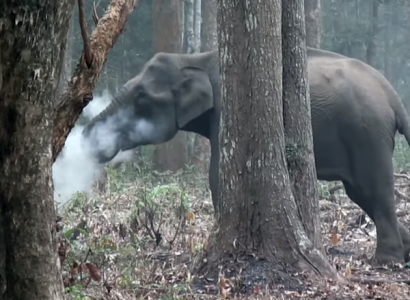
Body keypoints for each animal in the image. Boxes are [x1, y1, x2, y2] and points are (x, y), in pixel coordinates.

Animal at [81, 47, 410, 264]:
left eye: (141, 98)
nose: (83, 140)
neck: (194, 58)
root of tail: (393, 97)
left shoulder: (226, 111)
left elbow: (217, 175)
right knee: (361, 194)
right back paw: (404, 252)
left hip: (367, 134)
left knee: (373, 191)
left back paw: (386, 261)